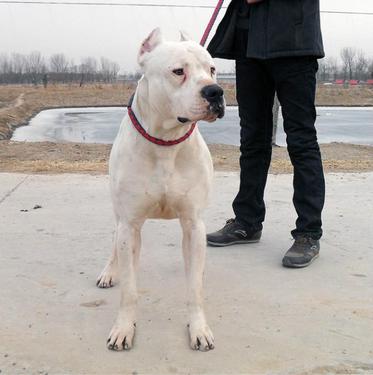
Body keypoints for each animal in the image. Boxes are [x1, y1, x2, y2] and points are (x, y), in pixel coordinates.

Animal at [96, 28, 224, 352]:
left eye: (212, 69)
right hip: (118, 216)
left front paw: (199, 328)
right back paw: (110, 271)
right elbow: (129, 290)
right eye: (179, 71)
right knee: (114, 242)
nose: (215, 92)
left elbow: (194, 288)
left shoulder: (193, 223)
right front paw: (123, 328)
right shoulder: (129, 225)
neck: (166, 142)